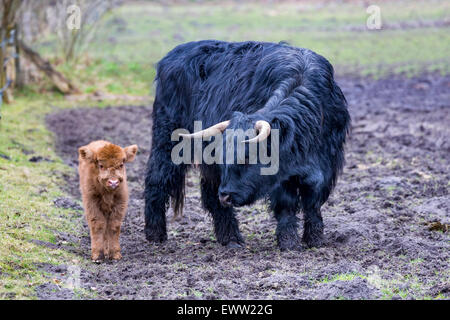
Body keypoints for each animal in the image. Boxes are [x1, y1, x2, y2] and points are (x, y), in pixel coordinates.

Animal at [146, 40, 350, 250]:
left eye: (247, 156)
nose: (226, 196)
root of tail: (172, 55)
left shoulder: (325, 166)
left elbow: (313, 203)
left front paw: (315, 240)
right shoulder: (280, 177)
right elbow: (286, 204)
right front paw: (289, 243)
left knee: (210, 193)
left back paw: (229, 237)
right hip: (167, 140)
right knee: (157, 179)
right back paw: (156, 234)